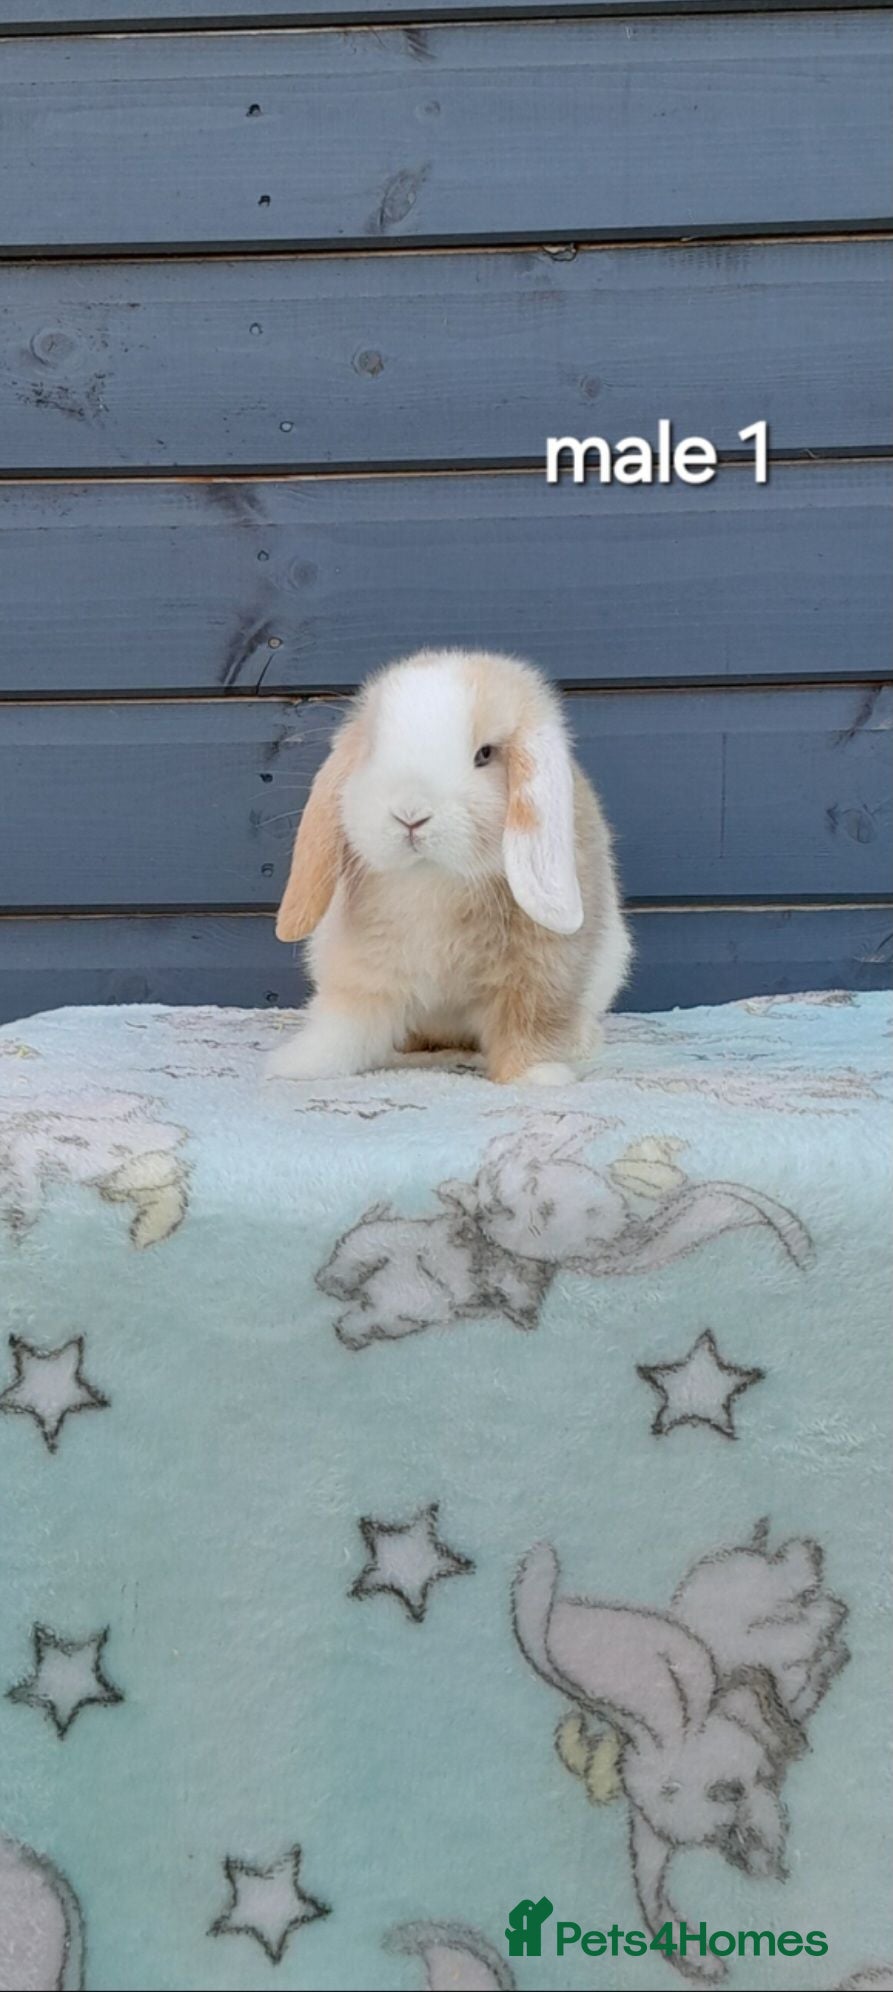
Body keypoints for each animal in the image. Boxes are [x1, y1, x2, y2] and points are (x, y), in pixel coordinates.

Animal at [268, 648, 631, 1085]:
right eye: (371, 750)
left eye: (485, 754)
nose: (410, 815)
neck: (434, 879)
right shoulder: (362, 970)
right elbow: (347, 1025)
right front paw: (297, 1065)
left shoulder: (540, 973)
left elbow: (528, 1024)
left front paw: (538, 1077)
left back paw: (581, 1040)